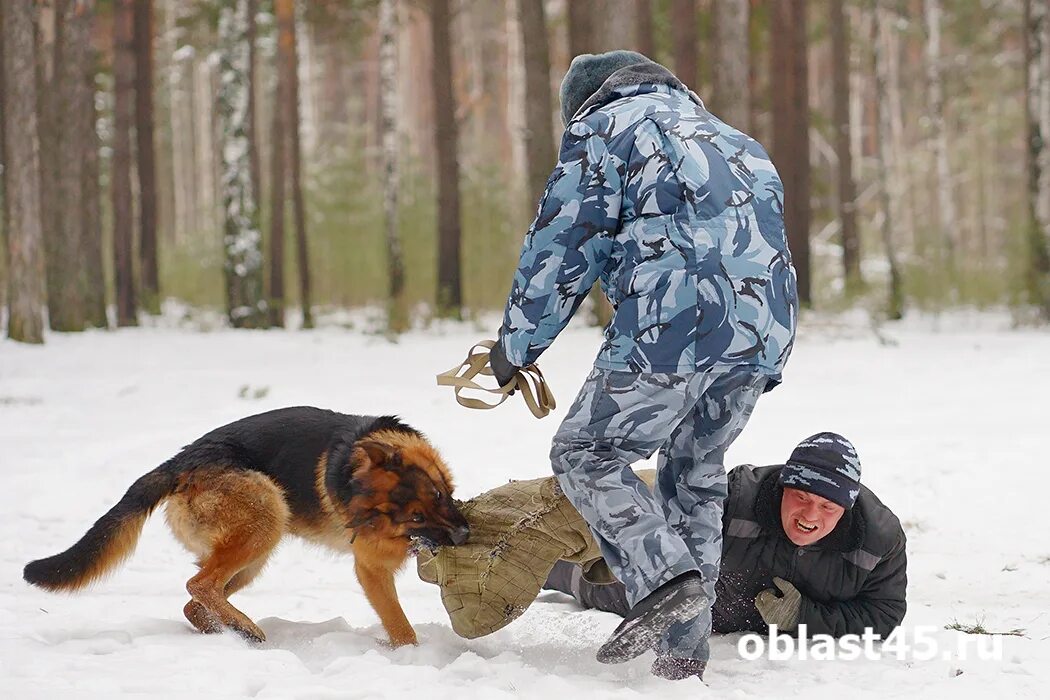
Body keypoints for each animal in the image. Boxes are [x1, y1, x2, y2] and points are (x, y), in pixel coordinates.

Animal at [21, 407, 468, 650]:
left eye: (440, 494)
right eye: (415, 517)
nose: (464, 536)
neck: (354, 472)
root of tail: (180, 463)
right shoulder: (371, 570)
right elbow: (400, 625)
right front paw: (411, 657)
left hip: (251, 558)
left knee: (195, 600)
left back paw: (231, 632)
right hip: (265, 519)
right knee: (199, 585)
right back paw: (243, 627)